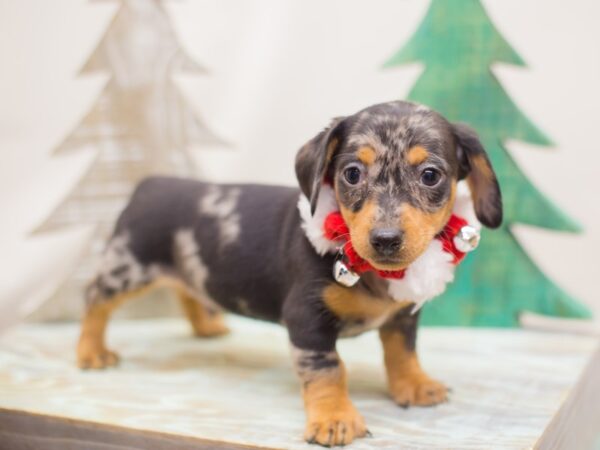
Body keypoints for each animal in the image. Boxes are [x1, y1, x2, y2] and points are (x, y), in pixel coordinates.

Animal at [78, 100, 502, 444]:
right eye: (351, 173)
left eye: (430, 175)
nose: (385, 239)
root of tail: (151, 184)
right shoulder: (307, 319)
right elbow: (329, 370)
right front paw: (334, 419)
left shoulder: (403, 315)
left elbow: (403, 352)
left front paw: (414, 385)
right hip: (126, 268)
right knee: (95, 299)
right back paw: (91, 351)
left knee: (187, 291)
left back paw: (206, 326)